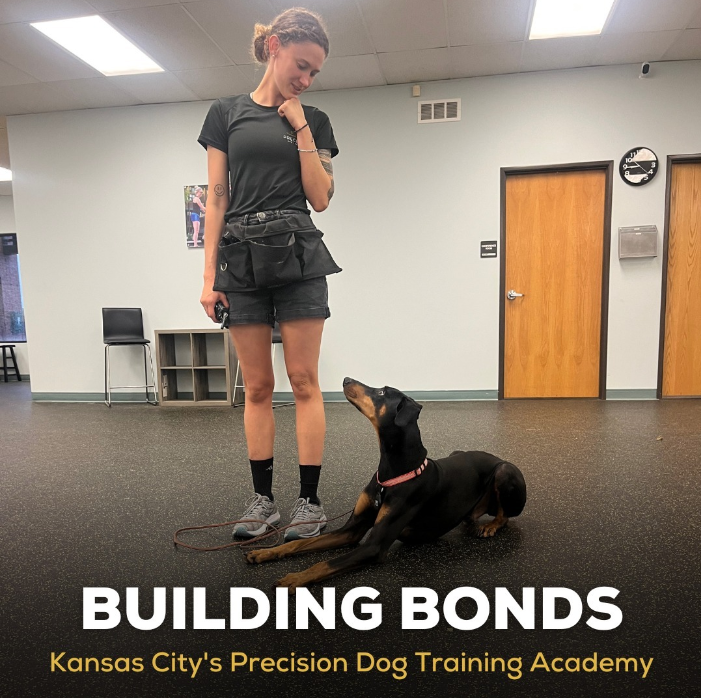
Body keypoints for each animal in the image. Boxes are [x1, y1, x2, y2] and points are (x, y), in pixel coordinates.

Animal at [245, 378, 527, 589]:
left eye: (381, 392)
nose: (345, 379)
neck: (391, 473)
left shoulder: (374, 546)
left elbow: (324, 563)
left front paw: (294, 578)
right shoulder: (351, 530)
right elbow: (299, 543)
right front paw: (266, 552)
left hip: (505, 471)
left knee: (504, 515)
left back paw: (490, 526)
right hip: (459, 453)